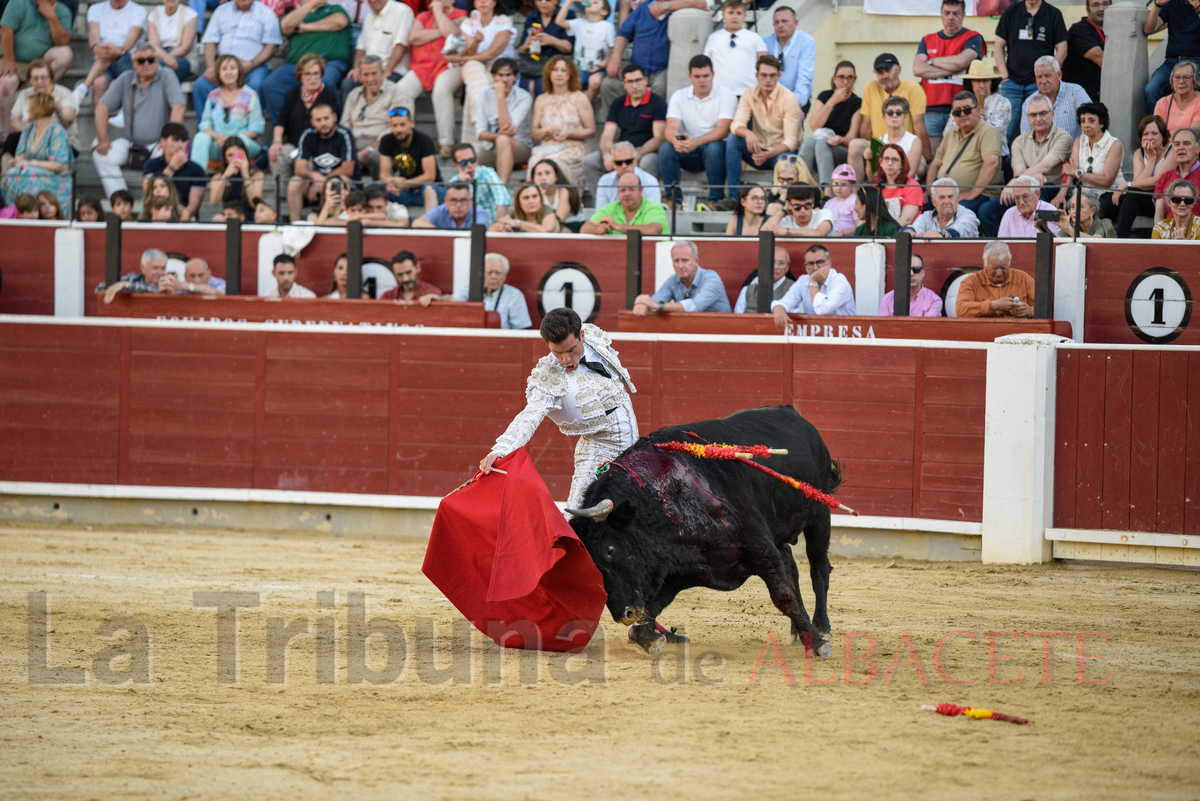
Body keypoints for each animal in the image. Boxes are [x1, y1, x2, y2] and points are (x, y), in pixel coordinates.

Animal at [566, 407, 840, 657]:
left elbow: (783, 596)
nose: (625, 613)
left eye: (609, 549)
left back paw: (822, 628)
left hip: (820, 514)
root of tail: (793, 413)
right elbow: (655, 604)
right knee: (791, 565)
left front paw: (817, 642)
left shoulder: (760, 548)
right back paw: (797, 631)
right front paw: (648, 638)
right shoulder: (688, 567)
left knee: (818, 569)